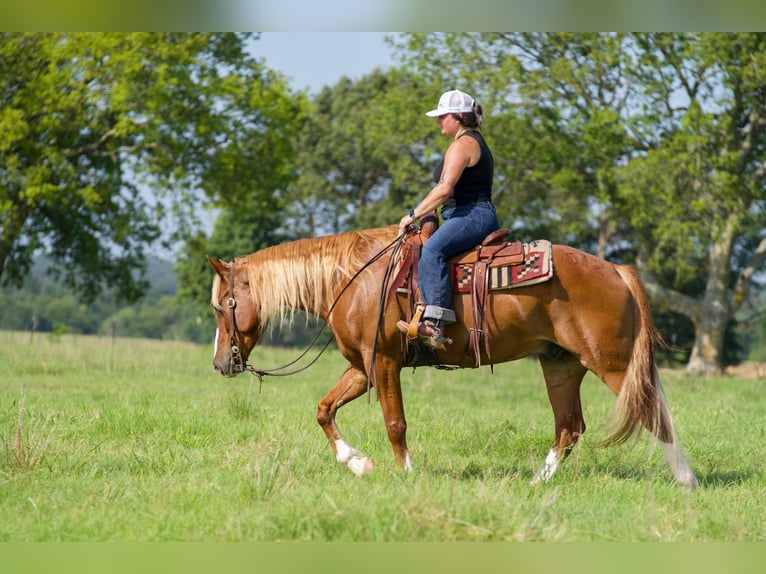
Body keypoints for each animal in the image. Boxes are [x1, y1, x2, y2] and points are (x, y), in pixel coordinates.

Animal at [207, 224, 697, 490]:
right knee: (569, 428)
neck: (353, 278)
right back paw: (536, 483)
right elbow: (324, 409)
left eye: (221, 305)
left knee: (653, 416)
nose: (220, 365)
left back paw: (686, 482)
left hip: (612, 364)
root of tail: (617, 270)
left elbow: (395, 422)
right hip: (561, 364)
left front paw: (404, 473)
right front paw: (358, 463)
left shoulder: (383, 362)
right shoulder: (362, 367)